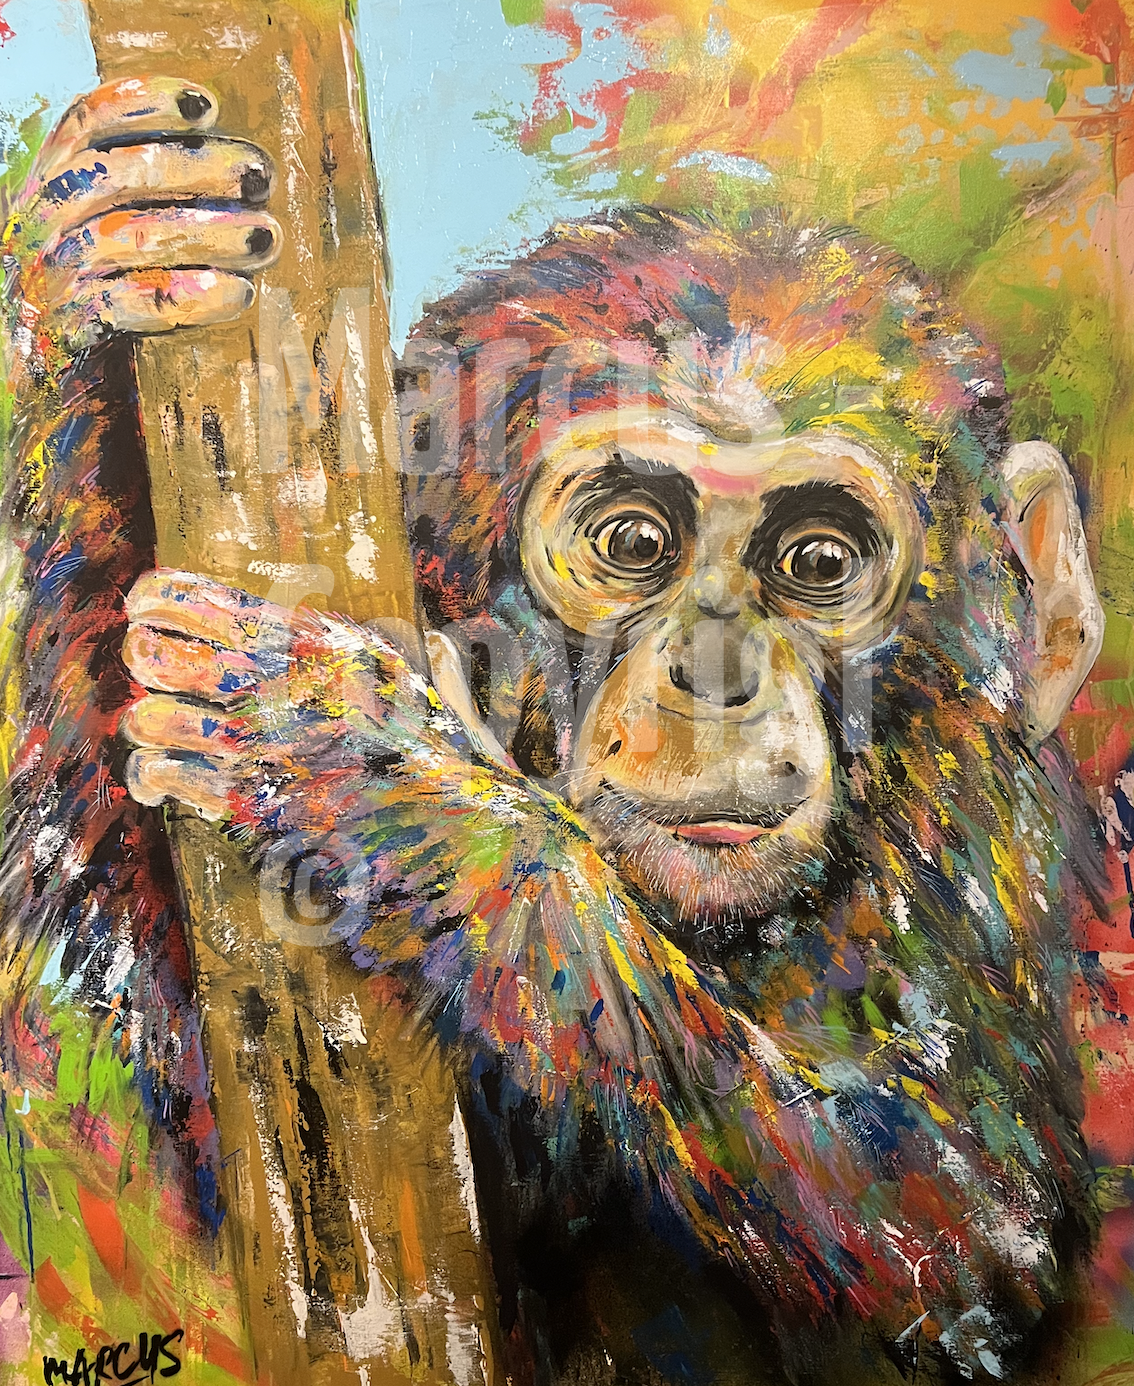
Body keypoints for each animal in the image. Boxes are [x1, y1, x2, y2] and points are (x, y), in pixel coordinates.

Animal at [1, 80, 1109, 1386]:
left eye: (820, 562)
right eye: (634, 541)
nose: (715, 670)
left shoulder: (975, 836)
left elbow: (944, 1227)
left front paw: (386, 790)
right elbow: (235, 1141)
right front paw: (93, 258)